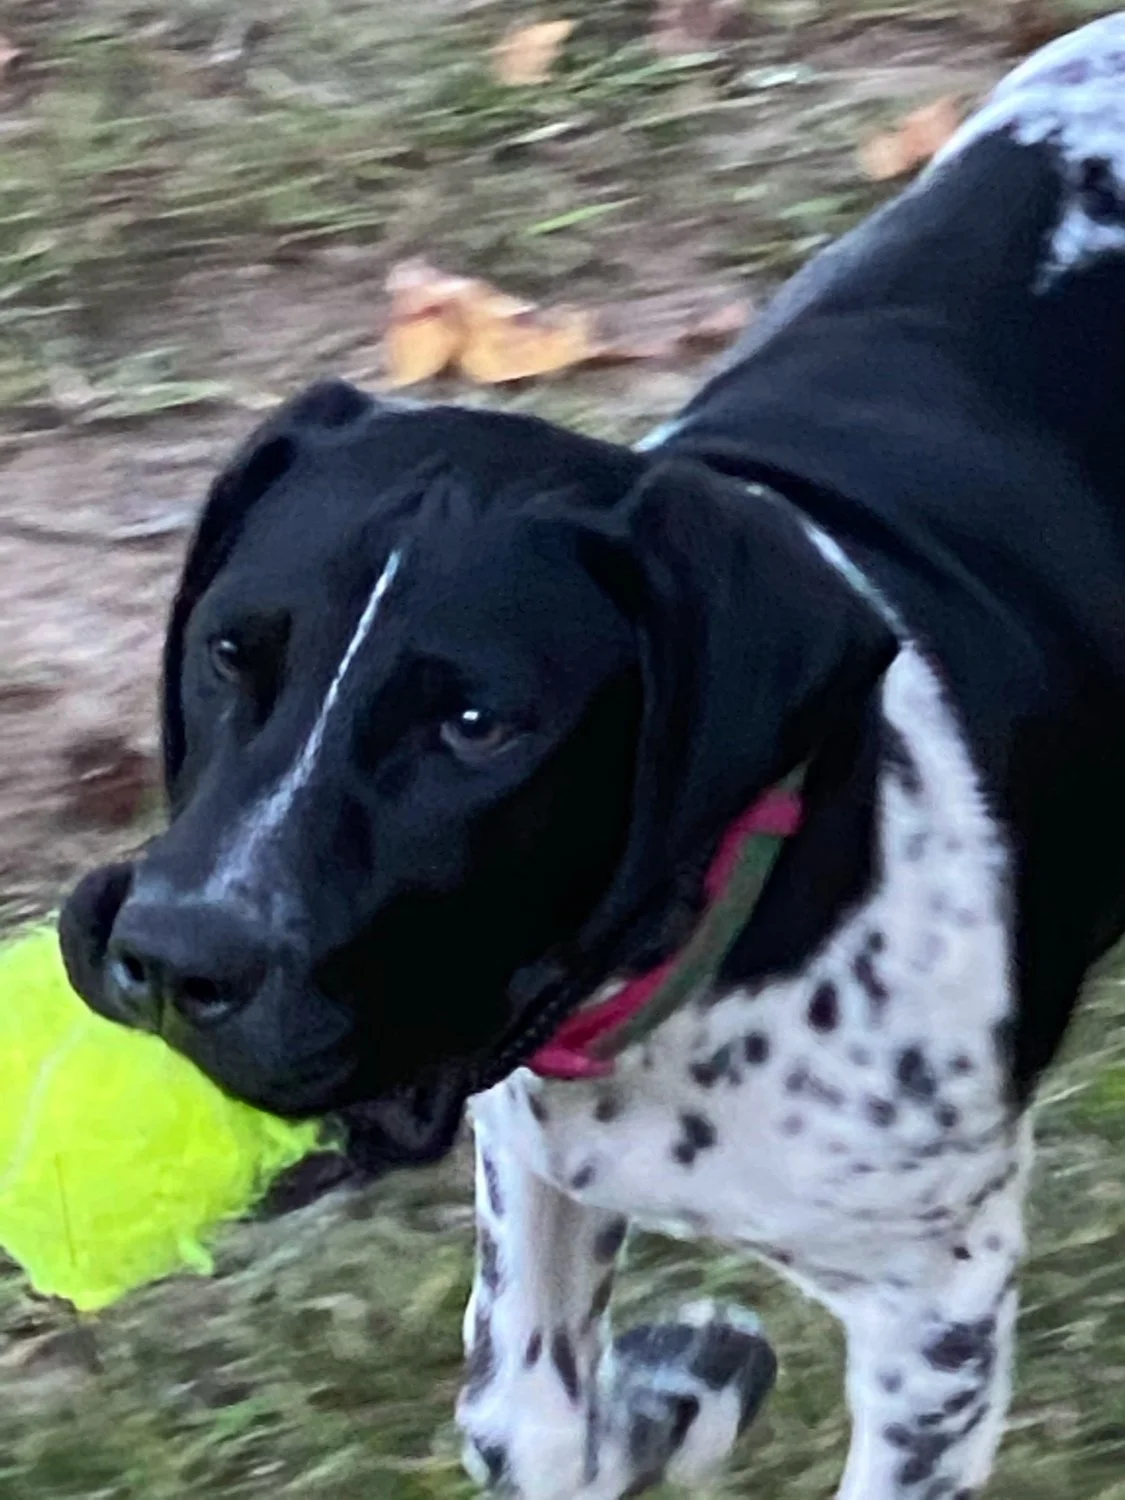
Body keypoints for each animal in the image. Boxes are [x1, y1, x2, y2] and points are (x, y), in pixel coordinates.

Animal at [59, 14, 1125, 1498]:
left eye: (477, 727)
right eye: (228, 656)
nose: (170, 957)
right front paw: (667, 1398)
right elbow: (523, 1409)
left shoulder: (938, 1301)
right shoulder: (533, 1158)